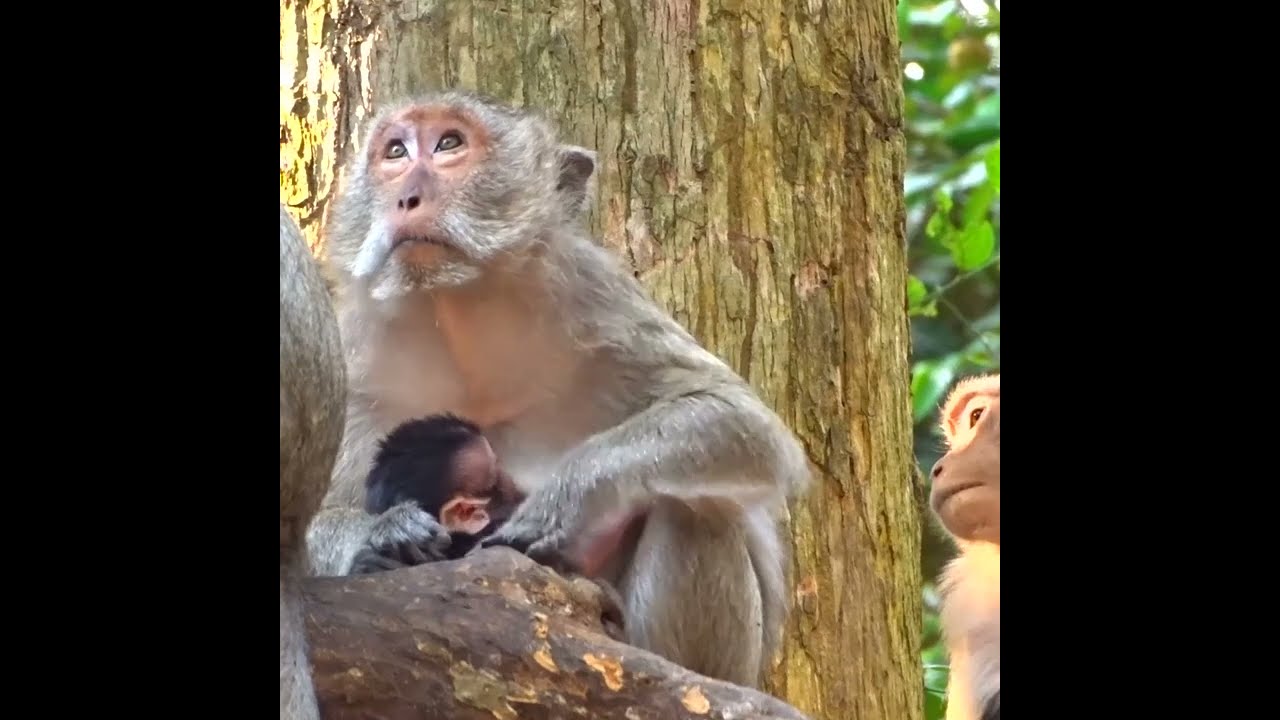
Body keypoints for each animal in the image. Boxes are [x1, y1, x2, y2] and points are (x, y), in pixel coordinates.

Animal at [302, 90, 812, 688]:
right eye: (396, 152)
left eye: (449, 143)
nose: (406, 196)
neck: (461, 314)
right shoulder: (354, 360)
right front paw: (381, 531)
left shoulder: (598, 300)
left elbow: (740, 421)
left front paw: (566, 500)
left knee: (698, 507)